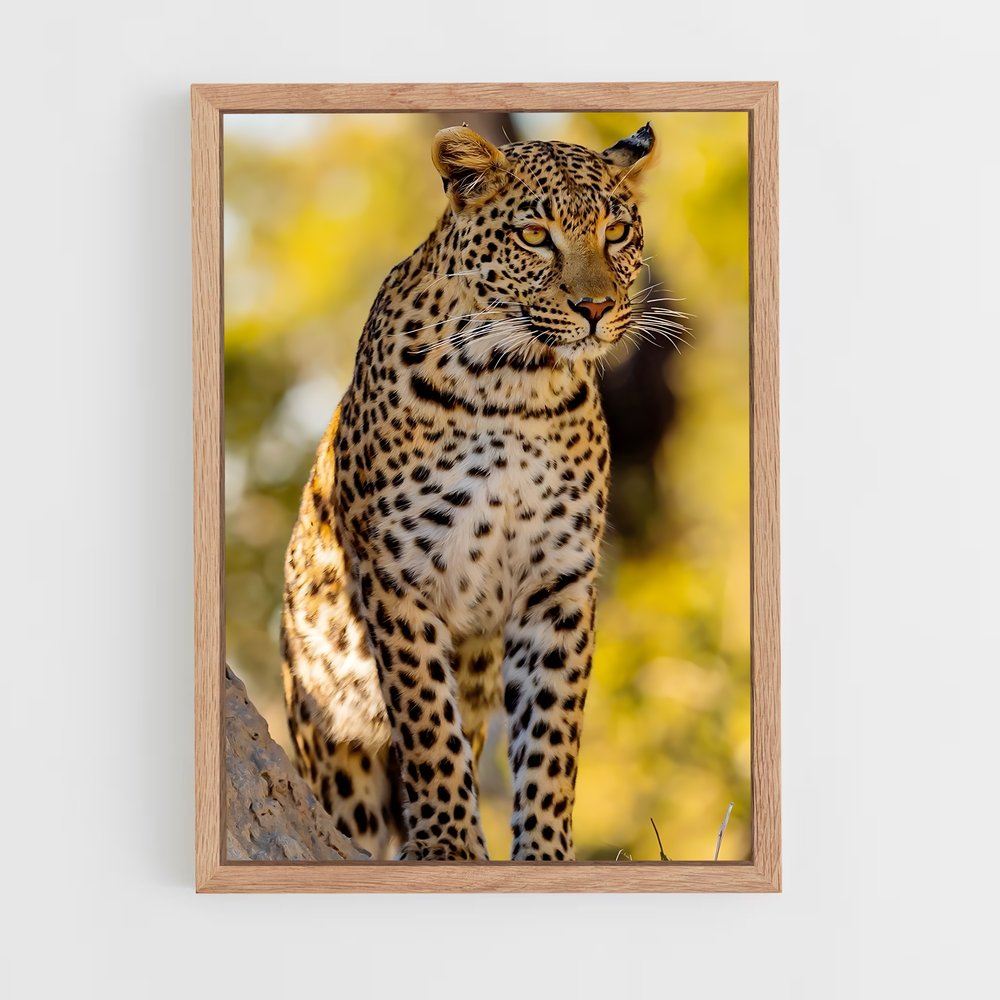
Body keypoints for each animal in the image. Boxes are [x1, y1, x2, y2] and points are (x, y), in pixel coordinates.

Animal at [281, 121, 657, 861]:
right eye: (536, 235)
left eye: (618, 231)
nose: (596, 308)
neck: (516, 386)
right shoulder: (400, 573)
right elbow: (429, 722)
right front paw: (450, 845)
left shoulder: (557, 582)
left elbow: (551, 735)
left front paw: (545, 853)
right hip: (329, 742)